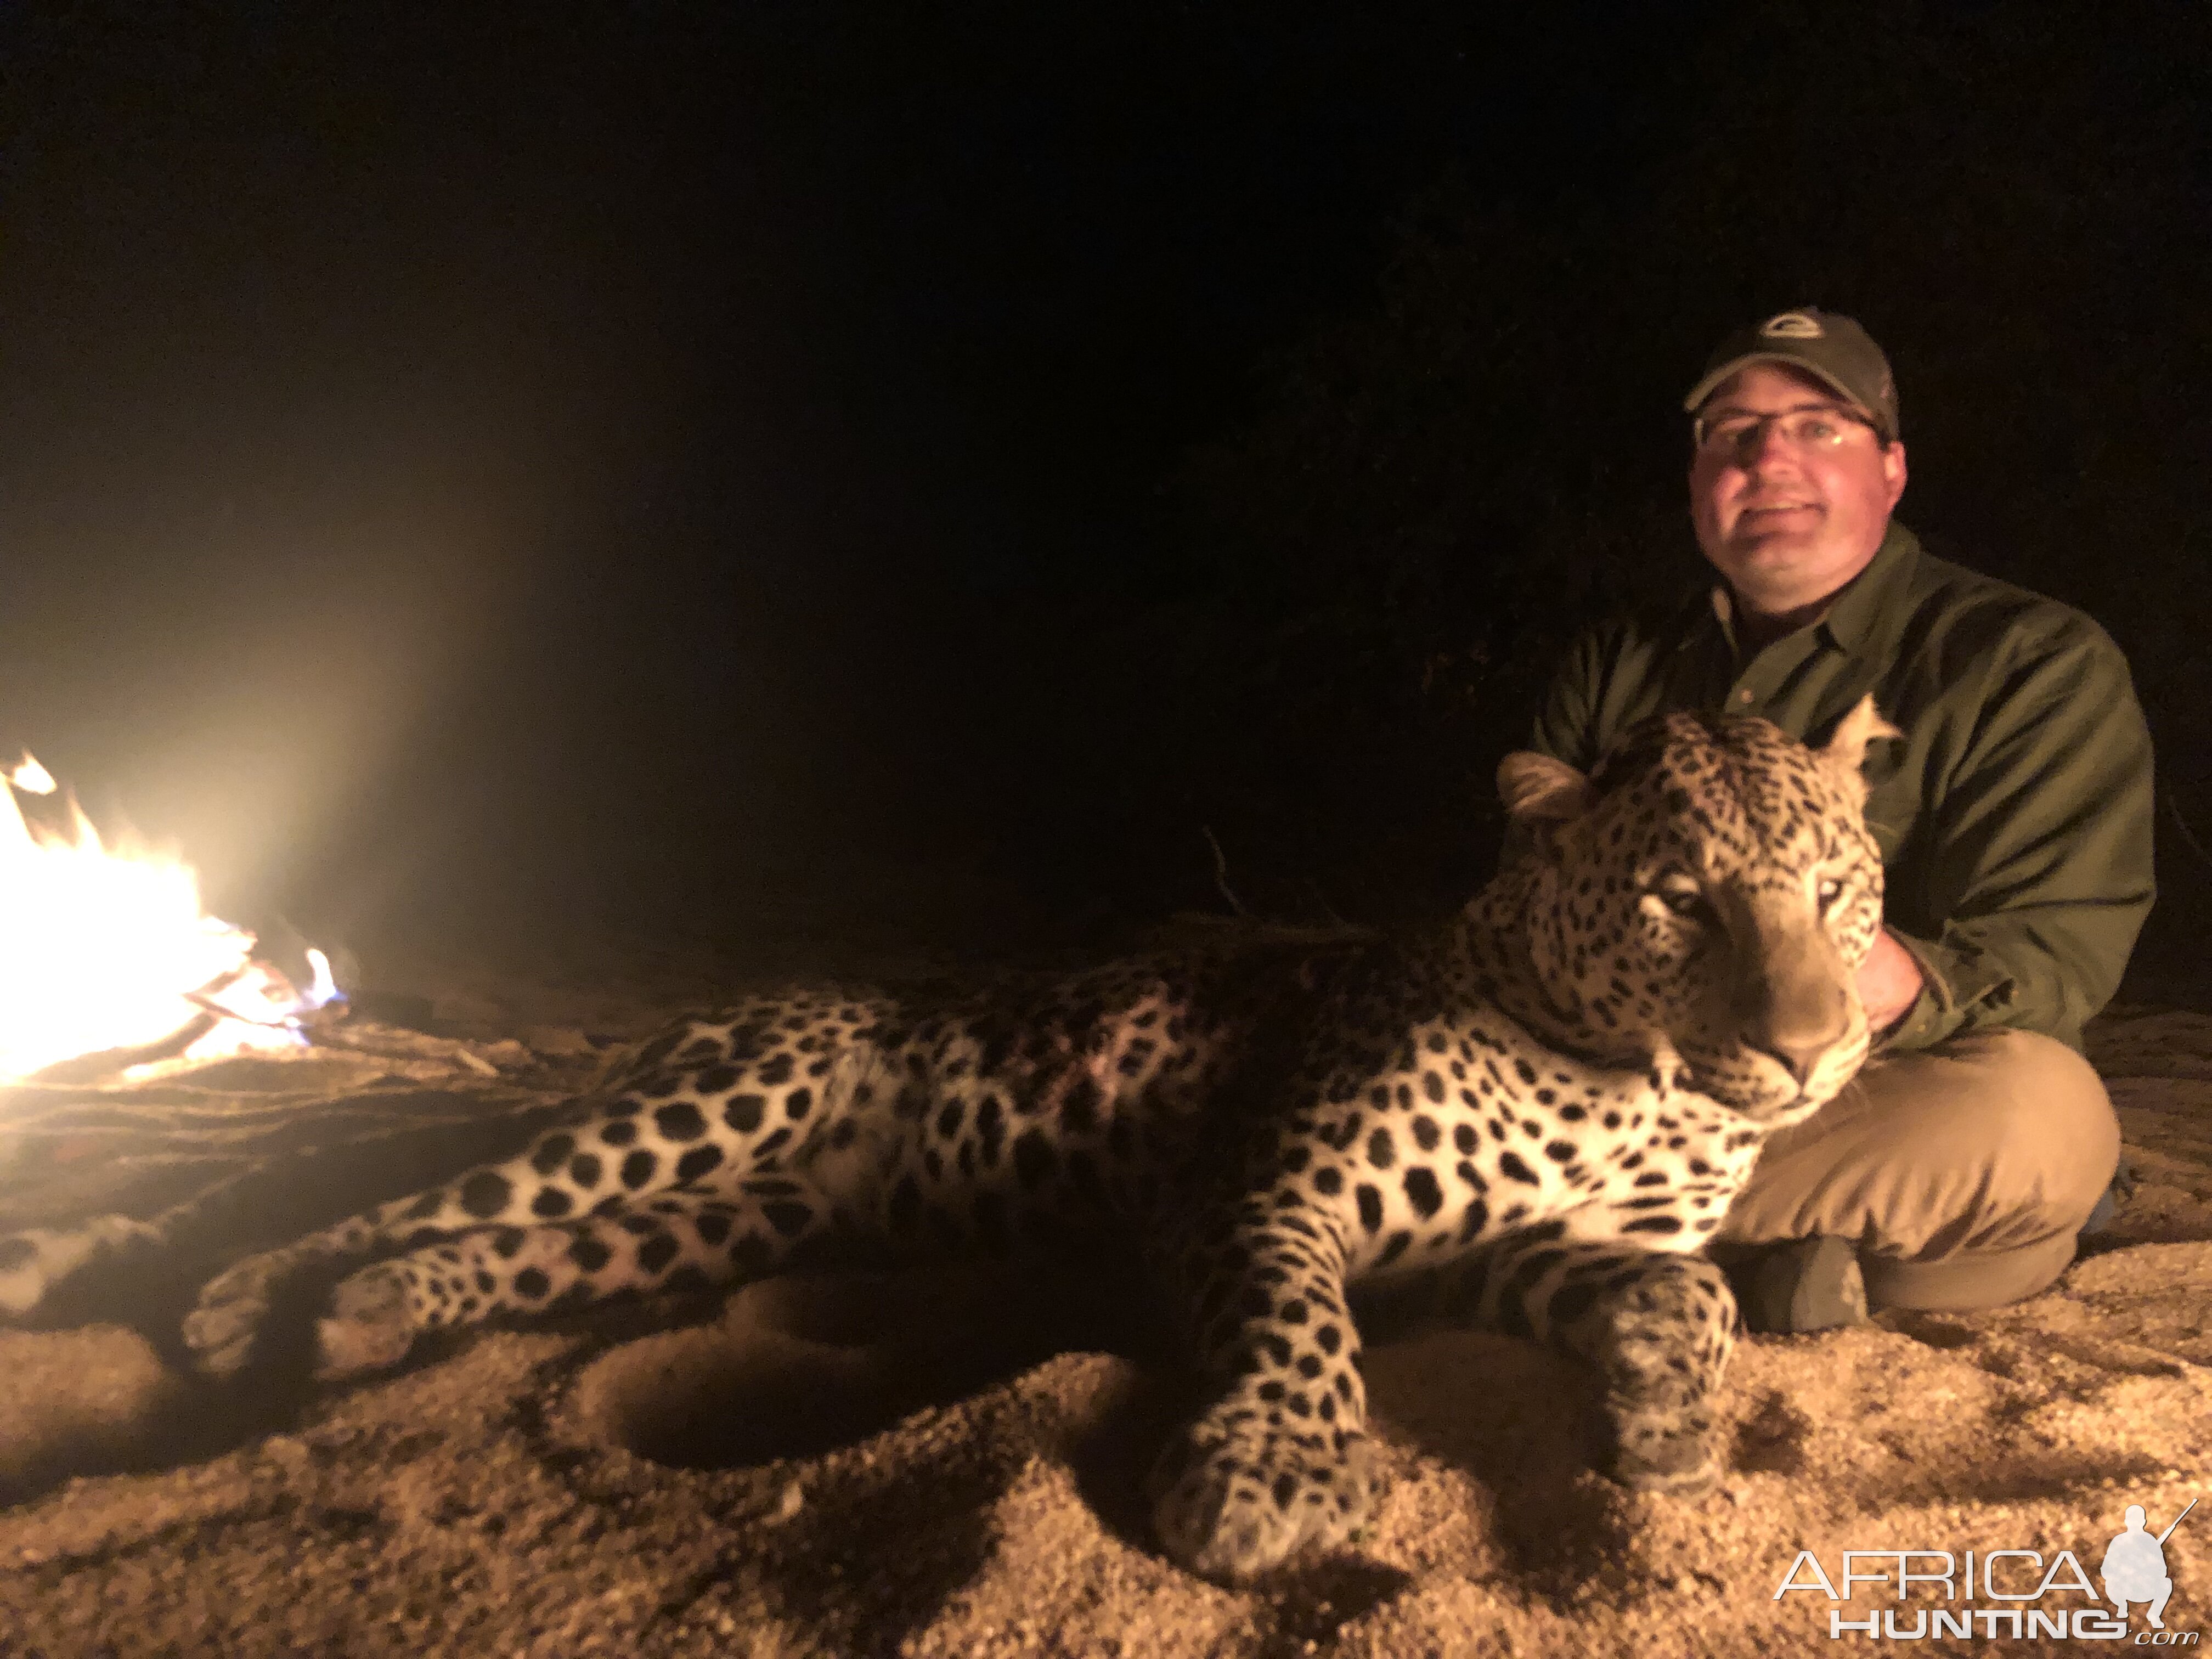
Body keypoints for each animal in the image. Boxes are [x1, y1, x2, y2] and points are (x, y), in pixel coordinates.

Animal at [0, 699, 1902, 1583]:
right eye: (1682, 899)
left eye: (1833, 893)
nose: (1814, 1045)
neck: (1625, 1078)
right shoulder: (1270, 1188)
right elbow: (1302, 1333)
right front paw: (1276, 1474)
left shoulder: (1527, 1253)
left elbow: (1690, 1297)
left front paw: (1667, 1414)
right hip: (710, 1102)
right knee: (408, 1192)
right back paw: (247, 1300)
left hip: (734, 1219)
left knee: (488, 1240)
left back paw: (383, 1313)